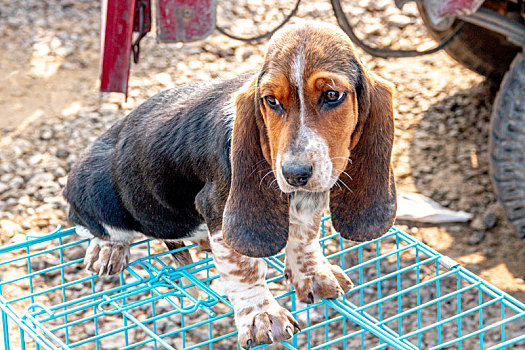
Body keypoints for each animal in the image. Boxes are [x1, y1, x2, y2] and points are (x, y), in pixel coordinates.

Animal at [63, 20, 396, 348]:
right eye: (271, 101)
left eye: (331, 95)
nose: (294, 174)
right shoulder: (219, 207)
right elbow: (245, 267)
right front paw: (262, 315)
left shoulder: (308, 200)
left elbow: (304, 237)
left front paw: (313, 275)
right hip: (96, 186)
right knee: (89, 223)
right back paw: (107, 250)